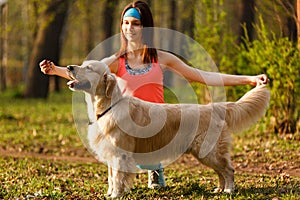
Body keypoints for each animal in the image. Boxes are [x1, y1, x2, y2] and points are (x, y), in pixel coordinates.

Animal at [67, 60, 270, 198]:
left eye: (88, 68)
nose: (69, 67)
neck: (108, 106)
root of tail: (215, 107)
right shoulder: (111, 152)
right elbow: (111, 177)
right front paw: (110, 193)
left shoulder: (120, 154)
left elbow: (117, 177)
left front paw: (116, 195)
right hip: (206, 153)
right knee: (222, 171)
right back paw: (219, 189)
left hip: (208, 151)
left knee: (229, 170)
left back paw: (228, 190)